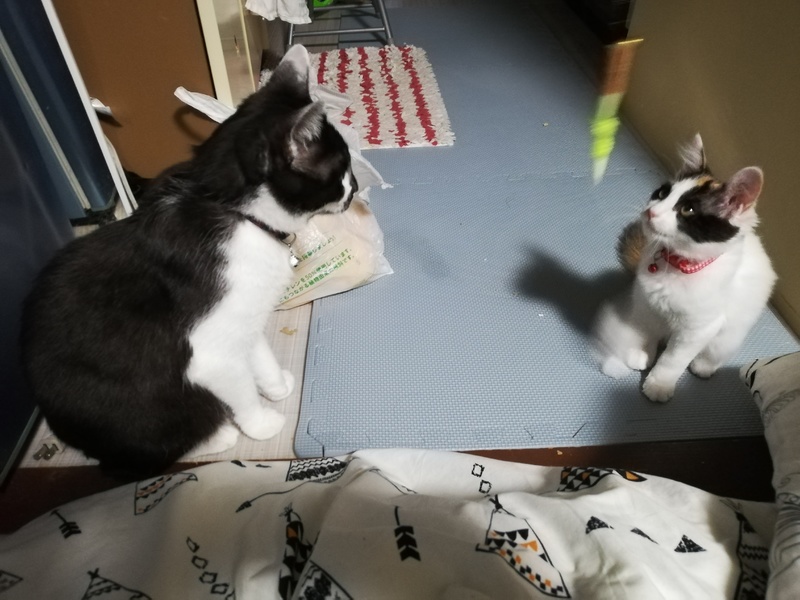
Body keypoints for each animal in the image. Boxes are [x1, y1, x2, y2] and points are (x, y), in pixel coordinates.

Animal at [20, 45, 357, 475]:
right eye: (341, 170)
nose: (356, 188)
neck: (238, 214)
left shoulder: (244, 316)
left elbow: (258, 352)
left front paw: (277, 385)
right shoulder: (209, 349)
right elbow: (238, 387)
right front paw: (262, 423)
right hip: (142, 407)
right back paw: (219, 436)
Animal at [593, 134, 776, 402]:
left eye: (687, 210)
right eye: (661, 193)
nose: (650, 212)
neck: (674, 264)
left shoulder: (699, 328)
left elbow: (672, 359)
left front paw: (658, 384)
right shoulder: (645, 301)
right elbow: (644, 328)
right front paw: (640, 352)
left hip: (729, 336)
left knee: (713, 353)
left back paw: (704, 366)